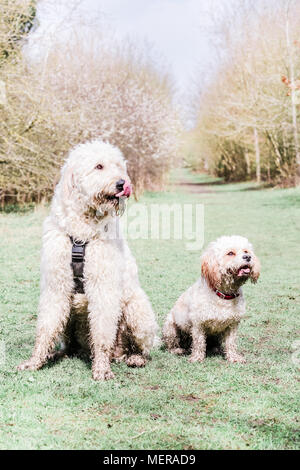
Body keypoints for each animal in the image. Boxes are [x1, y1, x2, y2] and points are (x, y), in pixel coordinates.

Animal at [17, 139, 158, 378]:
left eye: (118, 166)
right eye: (99, 166)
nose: (122, 183)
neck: (81, 228)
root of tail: (119, 353)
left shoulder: (103, 287)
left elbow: (102, 332)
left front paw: (101, 368)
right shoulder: (56, 286)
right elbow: (45, 327)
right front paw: (35, 360)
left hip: (137, 311)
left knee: (141, 347)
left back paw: (135, 357)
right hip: (71, 315)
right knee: (69, 344)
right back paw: (58, 354)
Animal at [163, 235, 258, 364]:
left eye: (246, 251)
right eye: (230, 253)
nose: (248, 257)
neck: (224, 295)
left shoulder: (232, 324)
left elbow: (231, 342)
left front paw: (233, 357)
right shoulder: (198, 324)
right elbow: (199, 342)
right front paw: (197, 357)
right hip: (170, 327)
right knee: (172, 344)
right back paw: (177, 350)